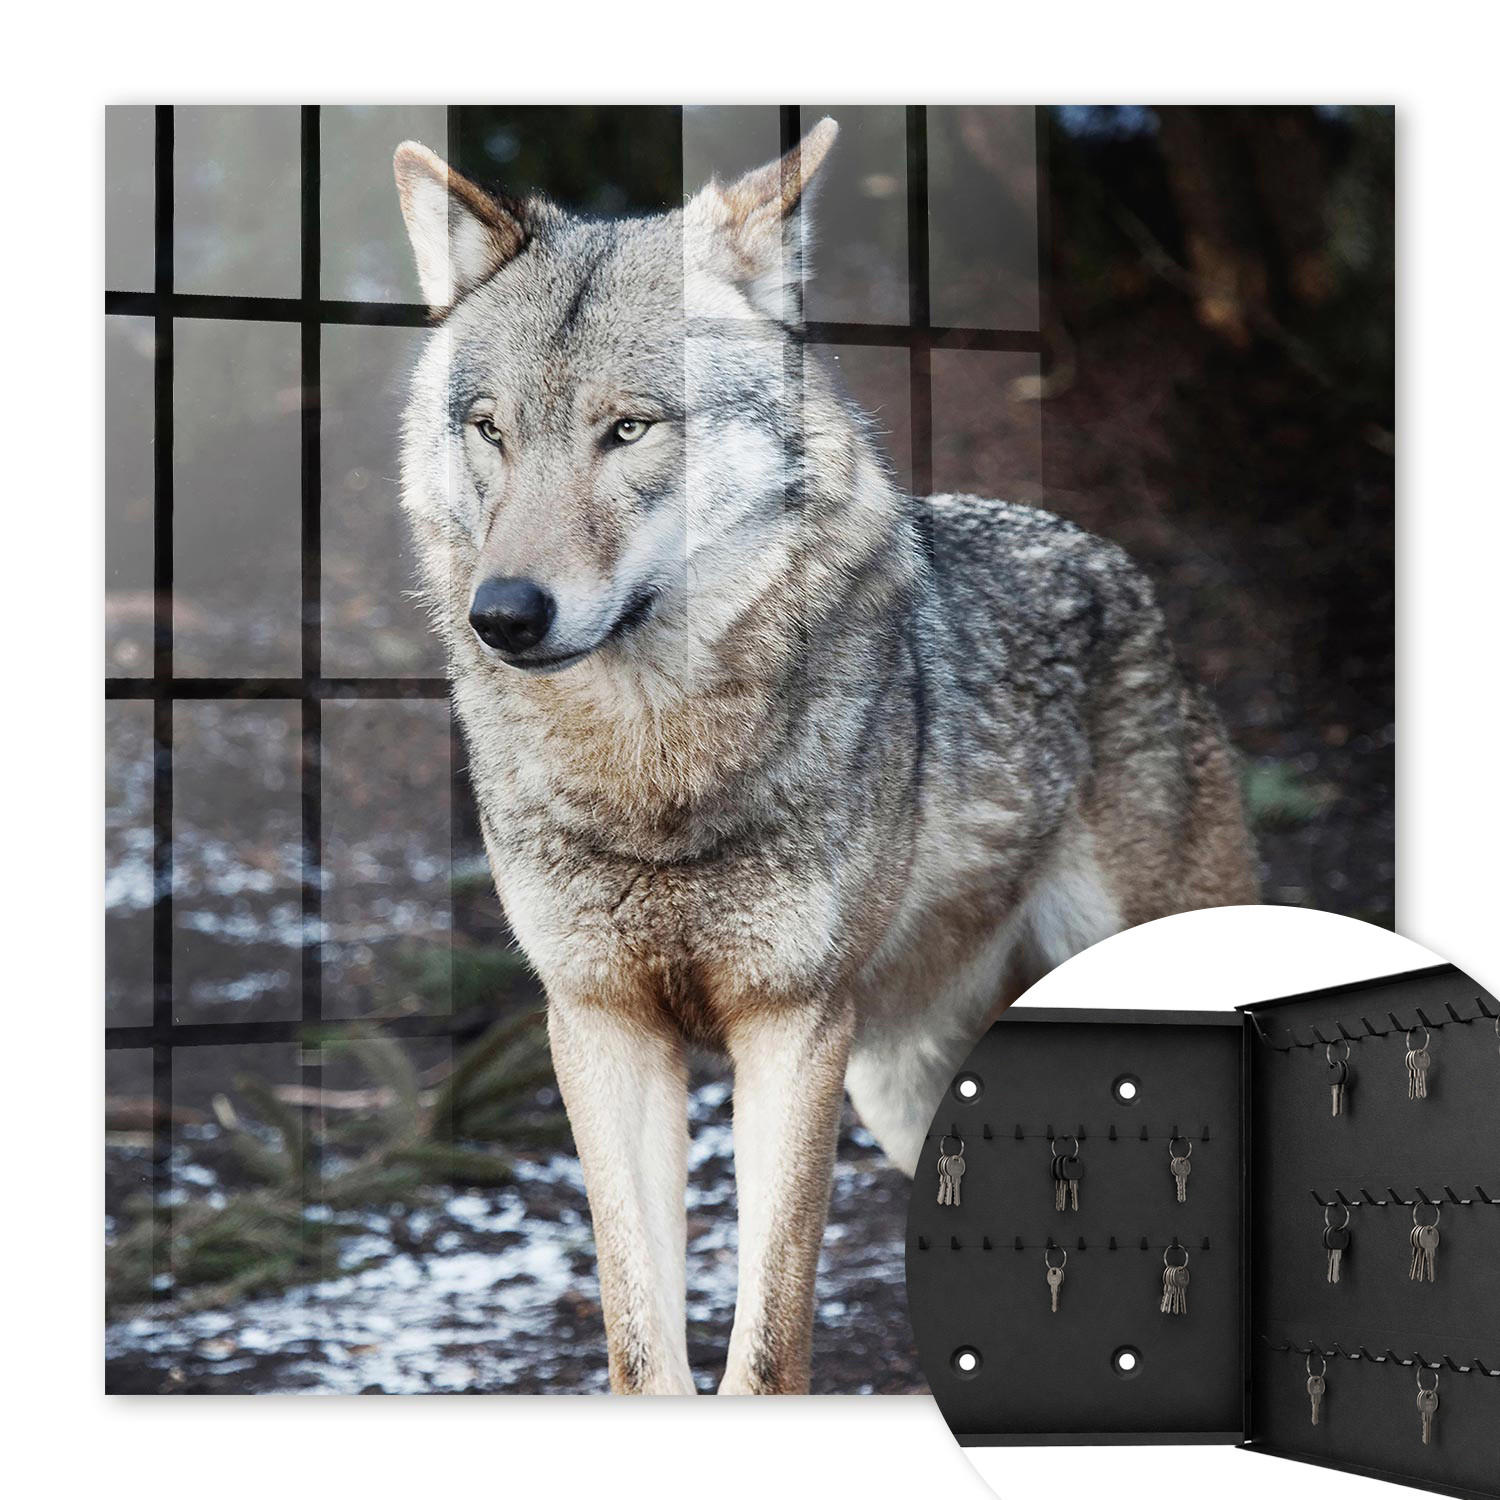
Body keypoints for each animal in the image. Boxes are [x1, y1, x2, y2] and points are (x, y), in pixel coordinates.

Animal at [392, 118, 1257, 1396]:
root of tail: (1120, 570)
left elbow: (768, 1348)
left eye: (628, 427)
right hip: (908, 1091)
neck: (654, 773)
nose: (503, 614)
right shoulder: (601, 1028)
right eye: (491, 429)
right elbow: (642, 1350)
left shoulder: (792, 1027)